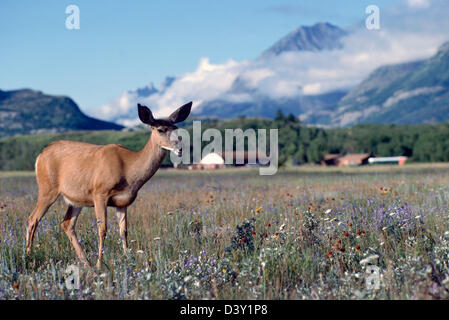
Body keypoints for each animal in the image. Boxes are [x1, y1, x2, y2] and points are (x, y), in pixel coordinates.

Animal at [25, 101, 192, 268]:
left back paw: (86, 263)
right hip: (47, 188)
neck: (129, 169)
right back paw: (28, 258)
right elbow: (103, 229)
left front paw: (128, 260)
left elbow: (124, 231)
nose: (180, 148)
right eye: (160, 129)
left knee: (66, 224)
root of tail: (40, 156)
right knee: (33, 218)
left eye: (176, 128)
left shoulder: (123, 202)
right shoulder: (100, 193)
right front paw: (100, 264)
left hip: (76, 199)